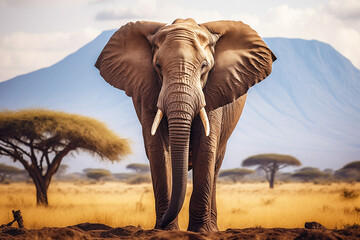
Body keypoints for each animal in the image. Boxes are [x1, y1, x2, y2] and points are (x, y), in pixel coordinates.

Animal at [95, 17, 276, 232]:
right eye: (158, 66)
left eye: (204, 66)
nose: (159, 224)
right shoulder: (147, 92)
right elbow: (158, 150)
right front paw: (166, 231)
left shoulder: (214, 92)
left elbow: (205, 148)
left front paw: (199, 231)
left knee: (215, 166)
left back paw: (212, 228)